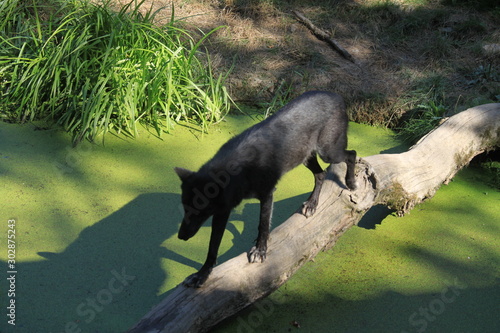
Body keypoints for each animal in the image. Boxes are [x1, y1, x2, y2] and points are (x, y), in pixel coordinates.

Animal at [175, 90, 356, 286]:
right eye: (184, 208)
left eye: (201, 211)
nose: (181, 236)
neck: (239, 169)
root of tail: (335, 94)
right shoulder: (223, 210)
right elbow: (212, 246)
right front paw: (202, 274)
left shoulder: (267, 194)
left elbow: (262, 225)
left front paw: (260, 251)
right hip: (305, 157)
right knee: (321, 174)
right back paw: (311, 204)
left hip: (329, 153)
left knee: (351, 154)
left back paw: (351, 182)